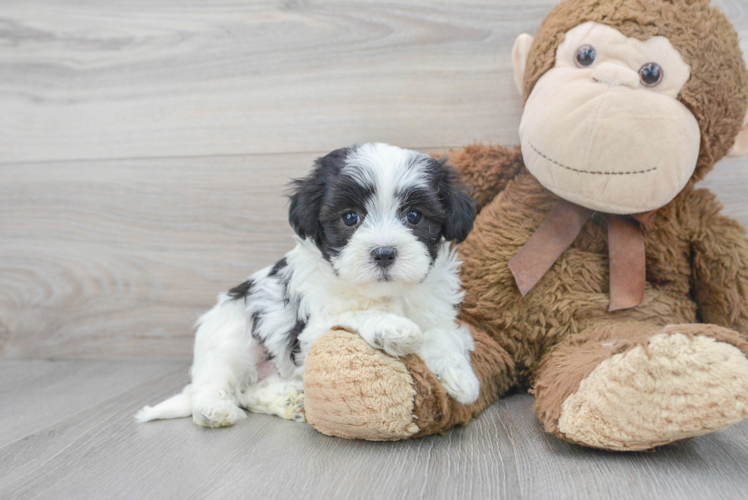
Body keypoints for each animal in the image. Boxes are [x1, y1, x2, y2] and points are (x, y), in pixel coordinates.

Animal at [137, 143, 480, 428]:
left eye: (414, 216)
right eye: (350, 217)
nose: (384, 252)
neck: (383, 293)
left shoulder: (435, 312)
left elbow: (441, 335)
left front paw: (460, 376)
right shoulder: (313, 330)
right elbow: (356, 315)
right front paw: (393, 327)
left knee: (248, 391)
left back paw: (291, 400)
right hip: (231, 335)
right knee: (214, 381)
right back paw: (213, 409)